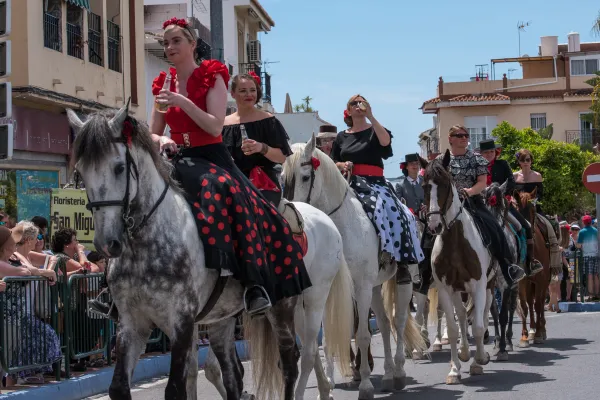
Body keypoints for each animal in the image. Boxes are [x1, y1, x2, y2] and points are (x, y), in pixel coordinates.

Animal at [282, 136, 426, 398]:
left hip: (402, 283)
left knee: (398, 321)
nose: (294, 214)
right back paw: (388, 374)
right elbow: (329, 337)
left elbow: (362, 335)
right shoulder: (332, 290)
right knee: (383, 323)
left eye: (305, 177)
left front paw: (365, 385)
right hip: (375, 287)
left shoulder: (360, 287)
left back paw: (399, 371)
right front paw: (327, 385)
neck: (342, 225)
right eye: (281, 176)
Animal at [420, 152, 490, 382]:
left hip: (489, 286)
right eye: (425, 186)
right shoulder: (444, 288)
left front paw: (478, 362)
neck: (456, 243)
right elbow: (452, 328)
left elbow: (478, 326)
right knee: (461, 316)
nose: (434, 225)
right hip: (458, 290)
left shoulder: (478, 285)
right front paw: (454, 368)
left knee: (483, 315)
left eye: (444, 184)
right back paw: (464, 351)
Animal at [512, 189, 552, 346]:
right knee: (529, 302)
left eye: (533, 210)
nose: (527, 227)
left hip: (544, 280)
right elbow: (524, 306)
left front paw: (540, 334)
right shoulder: (522, 281)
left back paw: (540, 330)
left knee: (538, 302)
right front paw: (524, 336)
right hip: (529, 283)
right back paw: (532, 331)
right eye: (516, 208)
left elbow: (538, 305)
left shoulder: (541, 279)